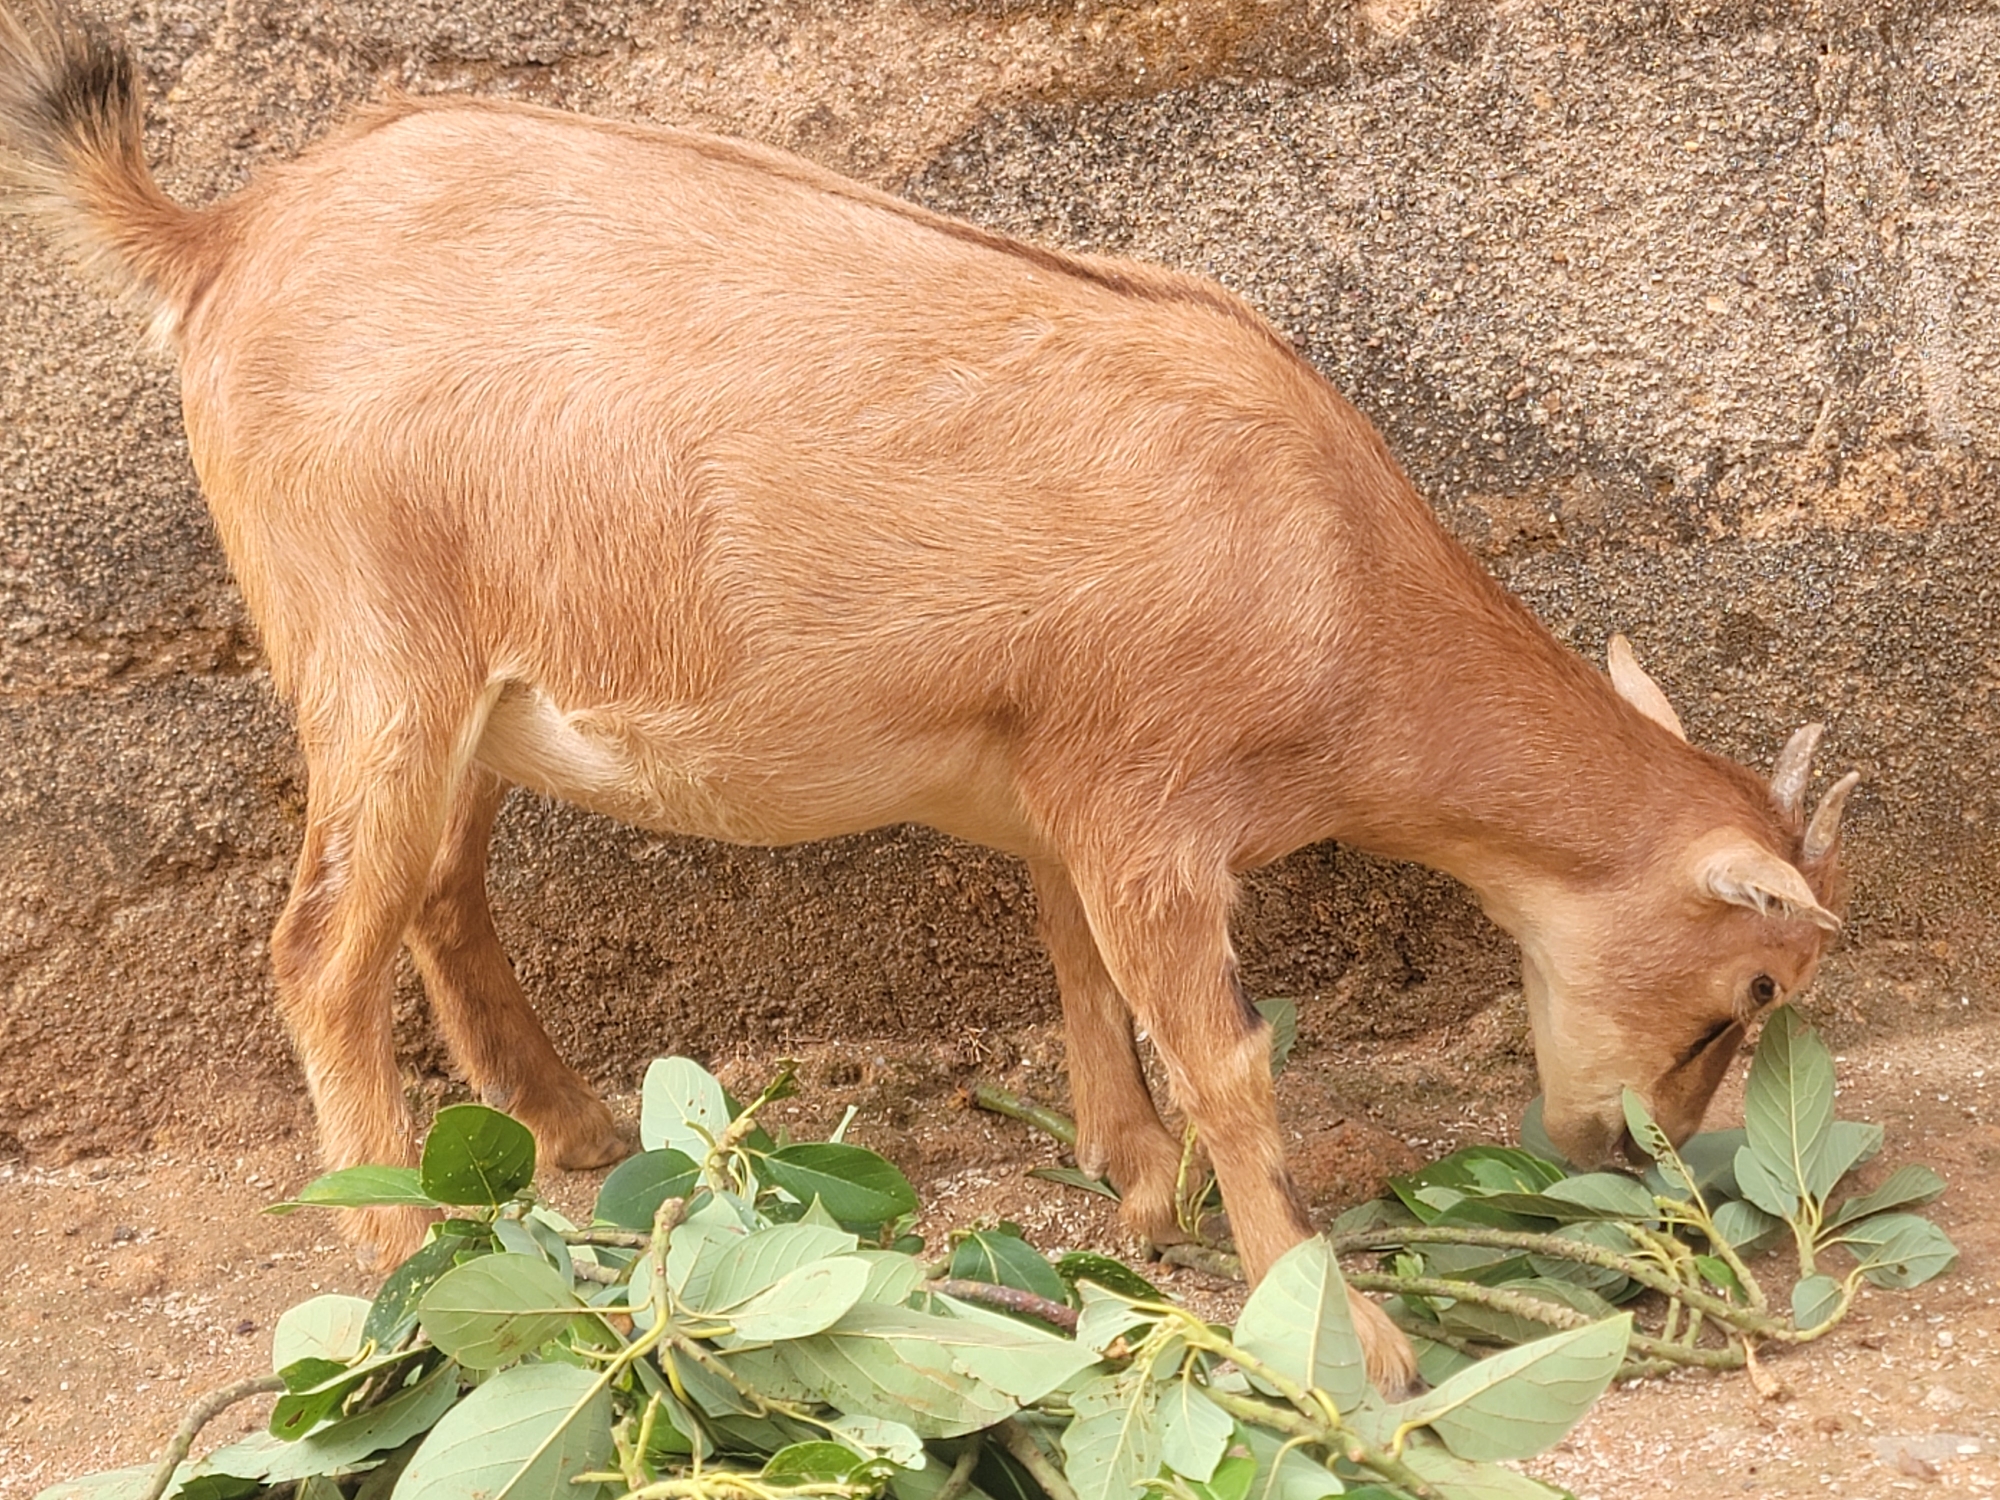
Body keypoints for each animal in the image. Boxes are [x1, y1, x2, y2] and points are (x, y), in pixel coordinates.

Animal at [0, 1, 1856, 1393]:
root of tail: (220, 238)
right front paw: (1351, 1332)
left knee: (440, 893)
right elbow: (1230, 1059)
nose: (1627, 1155)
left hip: (460, 697)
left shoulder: (1058, 786)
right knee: (320, 952)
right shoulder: (1148, 798)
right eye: (1756, 985)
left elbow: (1079, 972)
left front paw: (1133, 1184)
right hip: (373, 660)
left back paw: (581, 1134)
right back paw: (406, 1279)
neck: (1334, 573)